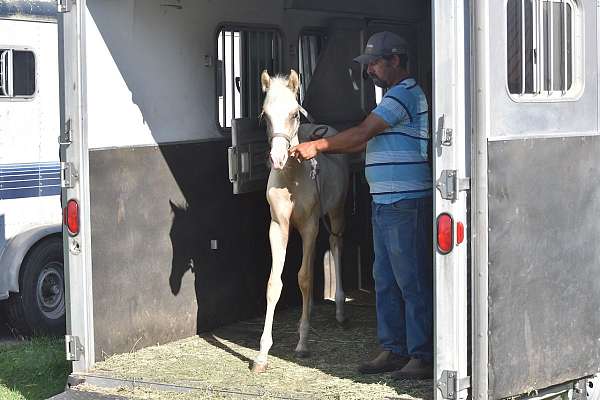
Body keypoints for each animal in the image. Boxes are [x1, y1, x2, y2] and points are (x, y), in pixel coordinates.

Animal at [251, 70, 350, 374]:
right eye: (265, 114)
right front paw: (262, 355)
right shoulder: (278, 227)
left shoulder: (308, 226)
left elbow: (304, 278)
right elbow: (274, 283)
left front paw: (303, 343)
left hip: (336, 212)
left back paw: (340, 310)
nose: (277, 158)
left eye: (294, 113)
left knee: (336, 245)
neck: (293, 177)